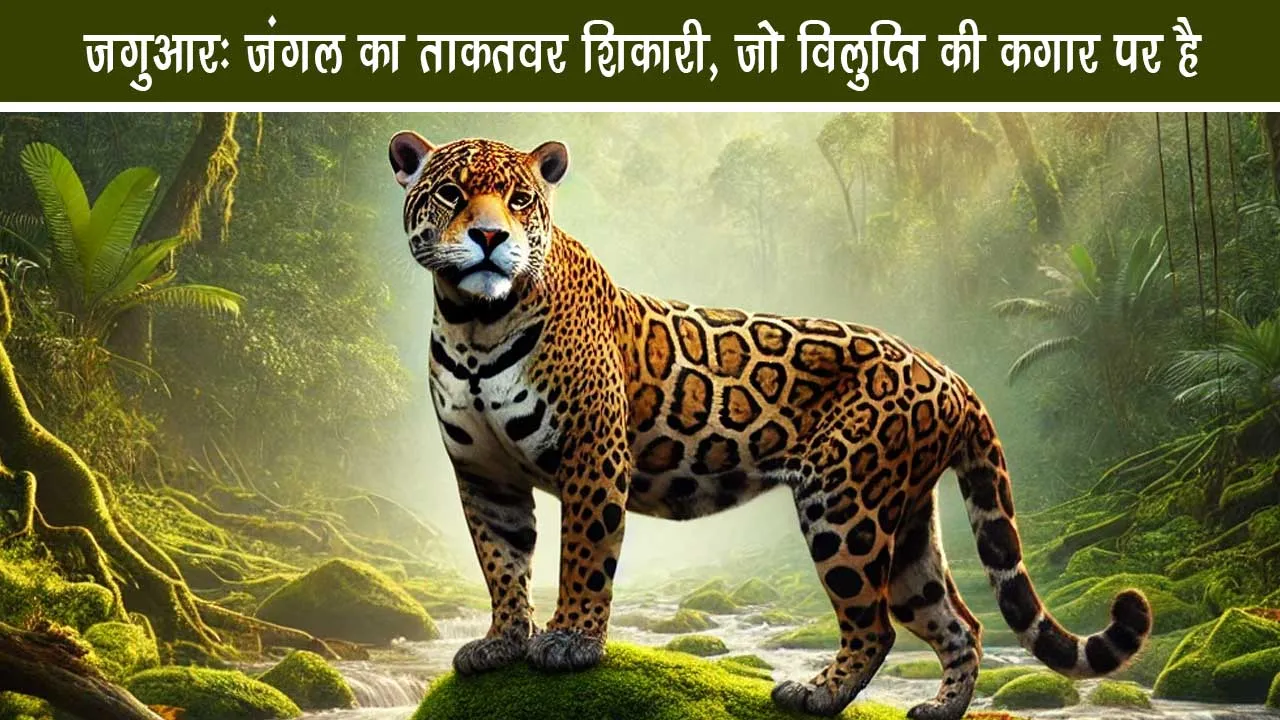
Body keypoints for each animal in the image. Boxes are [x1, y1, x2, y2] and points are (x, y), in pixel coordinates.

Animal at [388, 131, 1153, 720]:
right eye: (451, 193)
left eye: (519, 201)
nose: (491, 237)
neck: (475, 325)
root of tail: (950, 374)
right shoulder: (484, 475)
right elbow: (501, 563)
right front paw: (501, 643)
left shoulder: (592, 459)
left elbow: (584, 558)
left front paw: (569, 644)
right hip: (906, 520)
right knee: (956, 621)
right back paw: (939, 709)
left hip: (845, 504)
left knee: (874, 624)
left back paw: (814, 695)